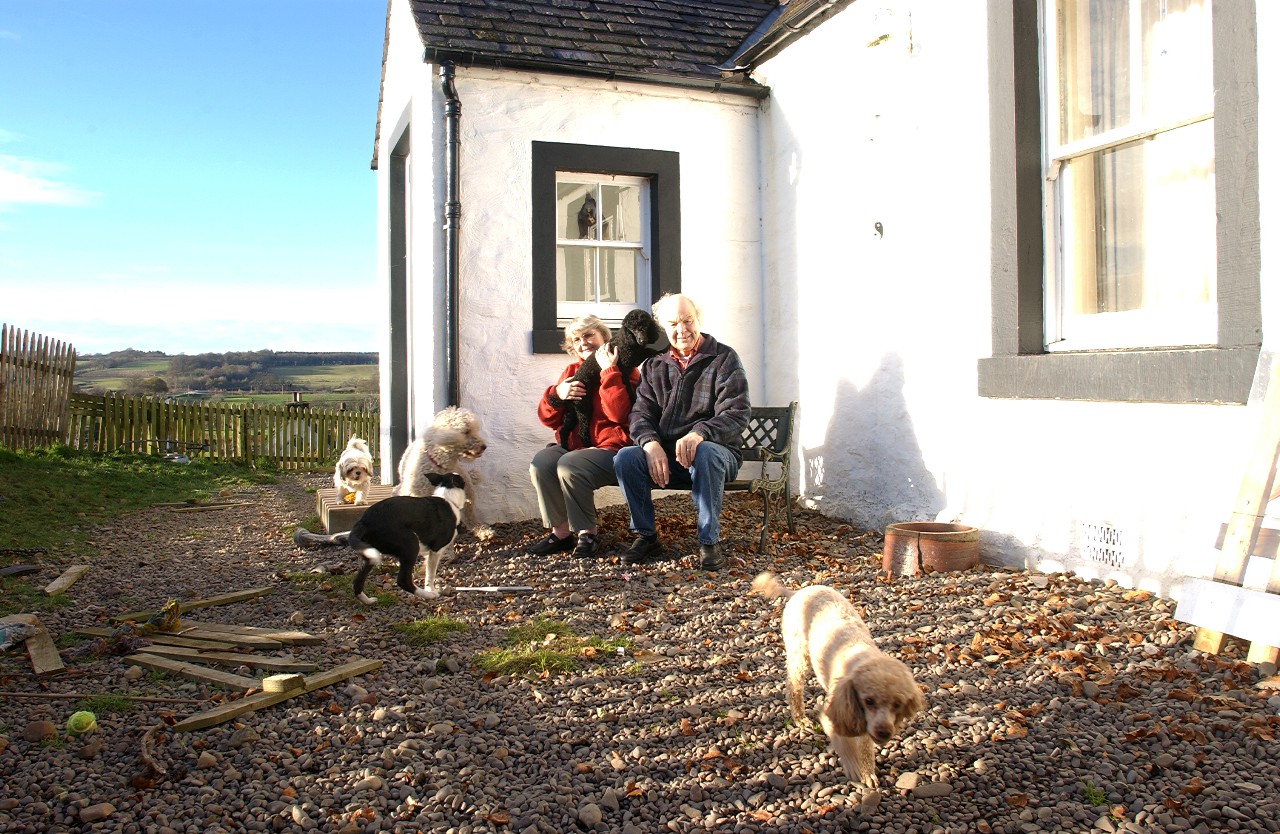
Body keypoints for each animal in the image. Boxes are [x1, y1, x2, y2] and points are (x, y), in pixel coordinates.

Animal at [348, 473, 468, 603]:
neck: (448, 497)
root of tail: (364, 522)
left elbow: (427, 569)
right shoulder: (436, 550)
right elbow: (430, 574)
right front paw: (431, 590)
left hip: (370, 554)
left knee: (357, 581)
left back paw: (368, 601)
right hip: (411, 544)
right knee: (403, 580)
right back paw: (428, 595)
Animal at [558, 308, 660, 450]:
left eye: (645, 326)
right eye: (633, 329)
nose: (642, 340)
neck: (627, 342)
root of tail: (574, 381)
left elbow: (646, 351)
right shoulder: (626, 364)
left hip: (572, 412)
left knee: (564, 430)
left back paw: (565, 447)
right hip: (584, 407)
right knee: (581, 432)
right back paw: (588, 445)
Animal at [747, 573, 921, 787]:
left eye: (897, 704)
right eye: (868, 700)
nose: (884, 732)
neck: (862, 657)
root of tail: (798, 592)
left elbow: (865, 746)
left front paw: (869, 774)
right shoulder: (835, 714)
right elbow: (844, 744)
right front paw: (855, 769)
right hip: (800, 653)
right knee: (793, 686)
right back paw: (800, 718)